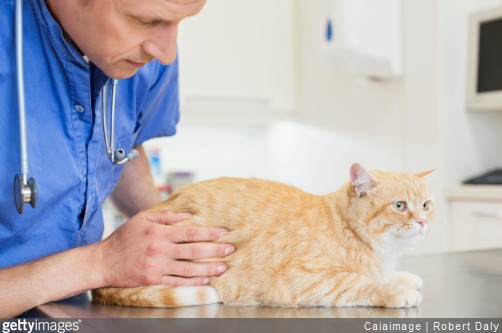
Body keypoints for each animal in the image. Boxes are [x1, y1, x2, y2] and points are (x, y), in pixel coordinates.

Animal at [94, 164, 436, 308]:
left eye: (426, 205)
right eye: (400, 206)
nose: (422, 222)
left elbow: (382, 275)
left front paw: (403, 277)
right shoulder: (301, 281)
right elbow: (360, 284)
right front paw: (396, 291)